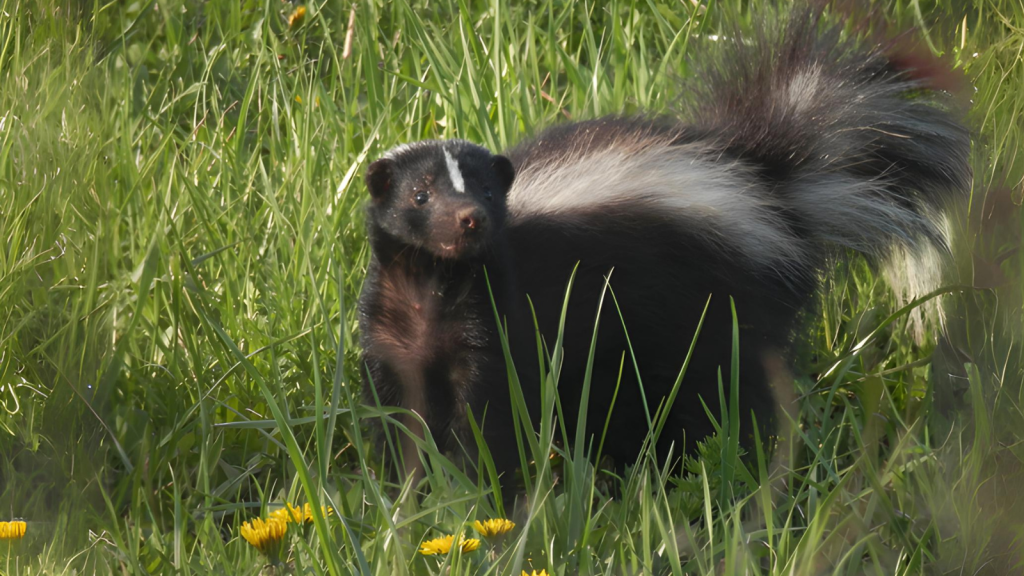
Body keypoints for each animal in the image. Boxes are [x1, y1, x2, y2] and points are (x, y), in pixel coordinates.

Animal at [358, 7, 966, 483]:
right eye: (419, 195)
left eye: (486, 189)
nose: (470, 220)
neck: (434, 287)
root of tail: (765, 182)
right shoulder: (393, 340)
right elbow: (400, 413)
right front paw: (407, 490)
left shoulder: (493, 325)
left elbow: (491, 410)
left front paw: (477, 486)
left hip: (710, 308)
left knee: (711, 395)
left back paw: (690, 469)